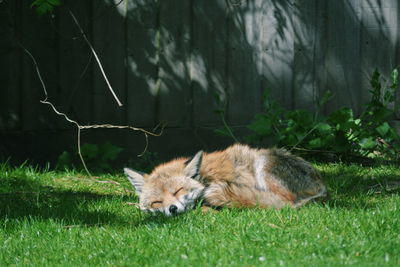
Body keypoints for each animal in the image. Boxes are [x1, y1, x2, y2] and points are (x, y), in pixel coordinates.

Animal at [123, 146, 326, 217]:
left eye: (178, 190)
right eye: (157, 202)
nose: (172, 209)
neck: (205, 177)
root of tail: (323, 188)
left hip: (263, 162)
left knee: (283, 204)